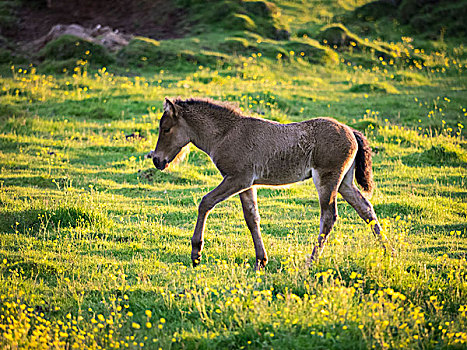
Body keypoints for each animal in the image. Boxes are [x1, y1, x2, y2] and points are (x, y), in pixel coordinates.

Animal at [153, 97, 388, 270]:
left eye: (166, 129)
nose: (157, 160)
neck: (226, 133)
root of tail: (351, 132)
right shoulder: (248, 184)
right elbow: (252, 218)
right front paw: (261, 260)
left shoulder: (238, 178)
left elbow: (205, 202)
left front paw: (196, 252)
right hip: (345, 183)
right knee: (365, 208)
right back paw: (388, 250)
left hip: (327, 178)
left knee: (329, 216)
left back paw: (311, 262)